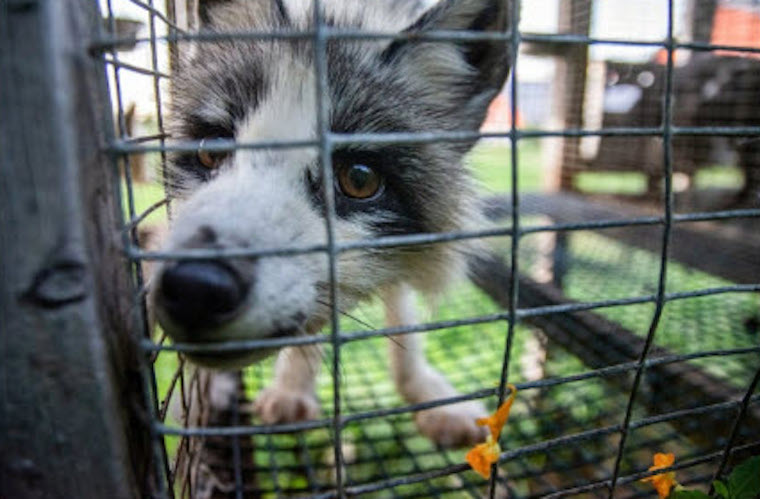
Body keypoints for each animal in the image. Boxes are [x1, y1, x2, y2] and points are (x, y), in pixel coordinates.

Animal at [149, 0, 511, 448]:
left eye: (359, 178)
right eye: (210, 151)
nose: (195, 287)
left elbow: (403, 327)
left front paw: (429, 395)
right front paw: (291, 387)